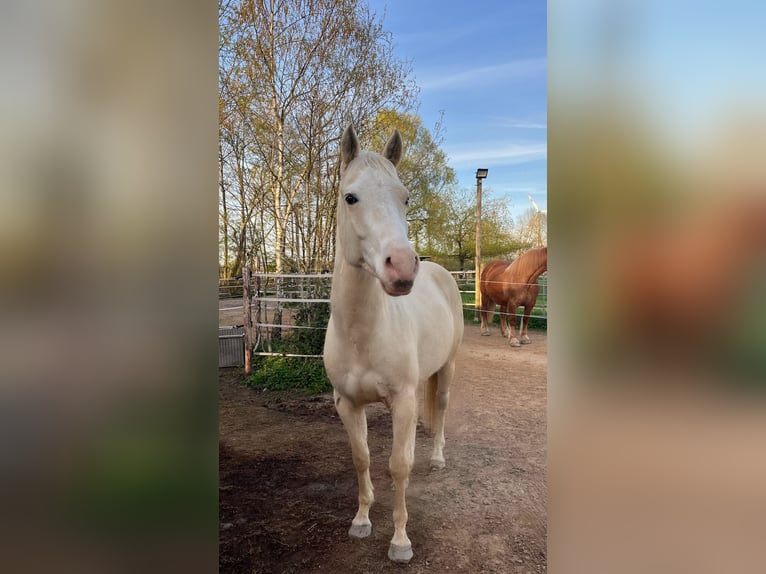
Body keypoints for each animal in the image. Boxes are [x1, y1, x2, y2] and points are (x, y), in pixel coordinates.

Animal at [323, 125, 464, 563]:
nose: (402, 267)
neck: (361, 334)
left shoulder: (401, 400)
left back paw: (436, 458)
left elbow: (399, 465)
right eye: (350, 197)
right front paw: (361, 520)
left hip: (448, 369)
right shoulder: (347, 404)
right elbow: (362, 458)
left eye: (405, 197)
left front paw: (401, 541)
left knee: (441, 407)